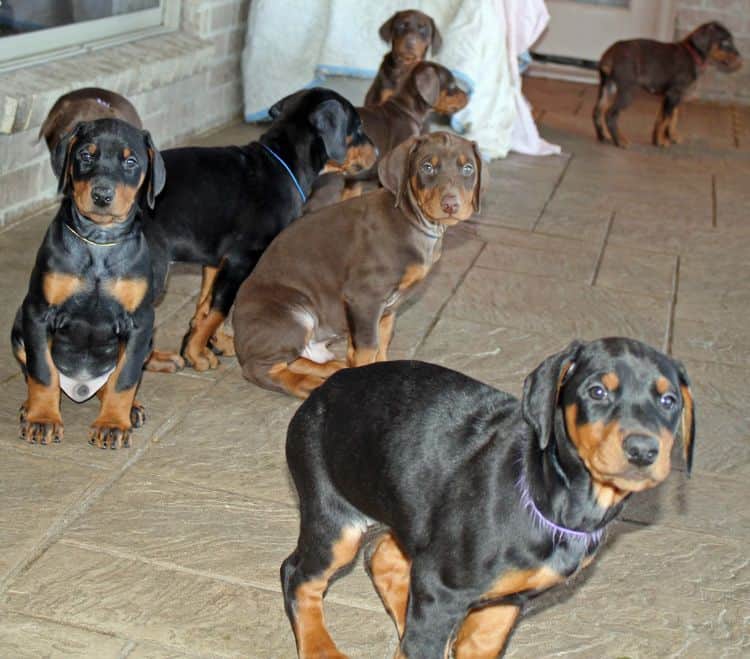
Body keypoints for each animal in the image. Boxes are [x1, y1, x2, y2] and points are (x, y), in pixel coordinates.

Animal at [11, 117, 165, 448]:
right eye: (86, 155)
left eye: (130, 161)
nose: (102, 196)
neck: (99, 241)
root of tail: (81, 386)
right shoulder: (38, 313)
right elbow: (42, 372)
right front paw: (43, 420)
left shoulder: (140, 323)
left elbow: (124, 378)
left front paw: (112, 424)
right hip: (18, 327)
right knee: (38, 370)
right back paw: (29, 406)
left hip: (148, 341)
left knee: (112, 380)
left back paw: (131, 409)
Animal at [232, 130, 484, 398]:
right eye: (427, 166)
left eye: (468, 168)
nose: (451, 205)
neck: (414, 221)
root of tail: (237, 336)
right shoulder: (364, 298)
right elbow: (367, 349)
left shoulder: (387, 308)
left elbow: (382, 340)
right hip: (293, 315)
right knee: (260, 369)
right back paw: (307, 383)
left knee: (295, 358)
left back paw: (332, 367)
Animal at [282, 340, 700, 659]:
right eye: (597, 391)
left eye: (669, 400)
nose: (643, 451)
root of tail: (325, 388)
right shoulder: (439, 588)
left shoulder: (505, 603)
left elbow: (478, 644)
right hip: (334, 519)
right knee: (297, 575)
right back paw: (322, 648)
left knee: (384, 555)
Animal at [596, 22, 744, 148]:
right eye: (726, 42)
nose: (740, 59)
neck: (693, 54)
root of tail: (611, 53)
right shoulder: (673, 94)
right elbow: (666, 119)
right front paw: (661, 141)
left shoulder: (671, 96)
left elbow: (669, 117)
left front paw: (668, 137)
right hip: (627, 91)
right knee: (610, 114)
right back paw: (620, 140)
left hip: (607, 86)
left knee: (597, 111)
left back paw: (604, 136)